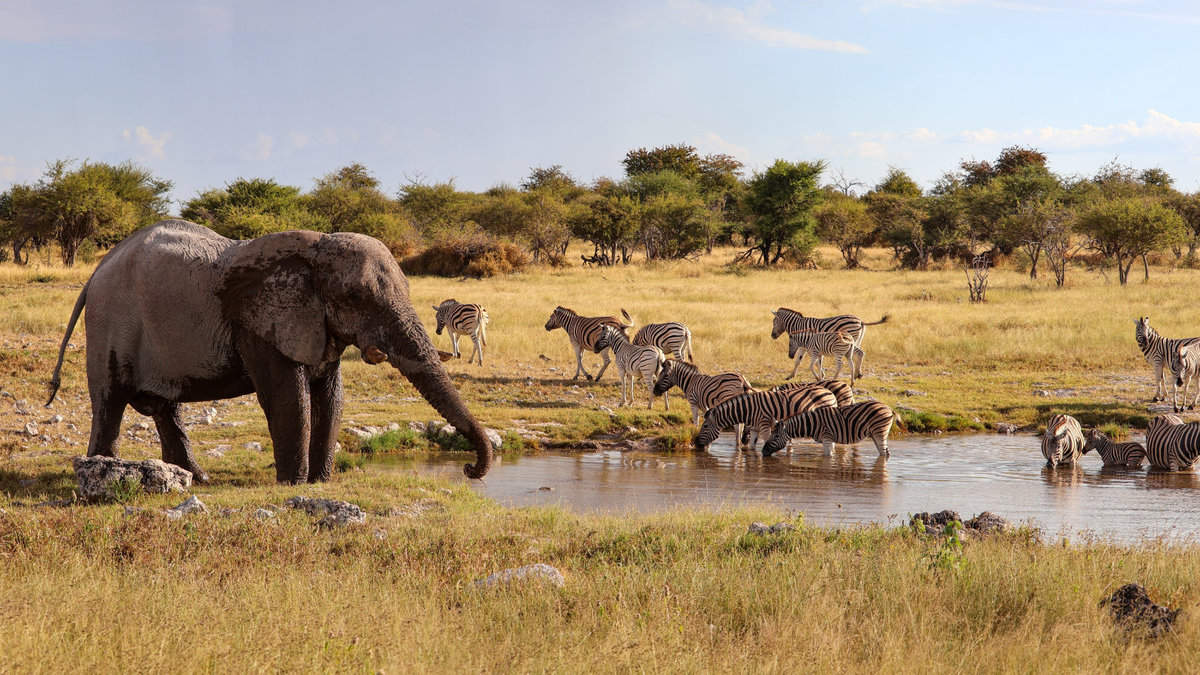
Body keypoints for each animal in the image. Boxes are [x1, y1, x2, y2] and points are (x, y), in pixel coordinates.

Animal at [46, 219, 493, 483]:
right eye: (354, 297)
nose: (470, 469)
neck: (315, 252)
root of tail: (95, 273)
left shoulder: (315, 323)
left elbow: (331, 397)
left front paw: (320, 483)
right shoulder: (260, 324)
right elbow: (287, 398)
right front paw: (294, 484)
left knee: (163, 407)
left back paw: (195, 479)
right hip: (111, 322)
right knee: (110, 401)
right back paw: (101, 473)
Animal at [694, 386, 837, 452]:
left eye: (705, 426)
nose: (697, 444)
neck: (748, 410)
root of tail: (829, 391)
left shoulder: (765, 425)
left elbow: (768, 441)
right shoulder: (755, 429)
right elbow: (752, 447)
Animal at [761, 400, 896, 458]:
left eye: (776, 436)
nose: (762, 451)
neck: (812, 424)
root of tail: (888, 408)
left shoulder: (827, 437)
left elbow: (827, 456)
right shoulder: (829, 440)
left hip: (879, 432)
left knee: (884, 453)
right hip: (875, 434)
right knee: (885, 453)